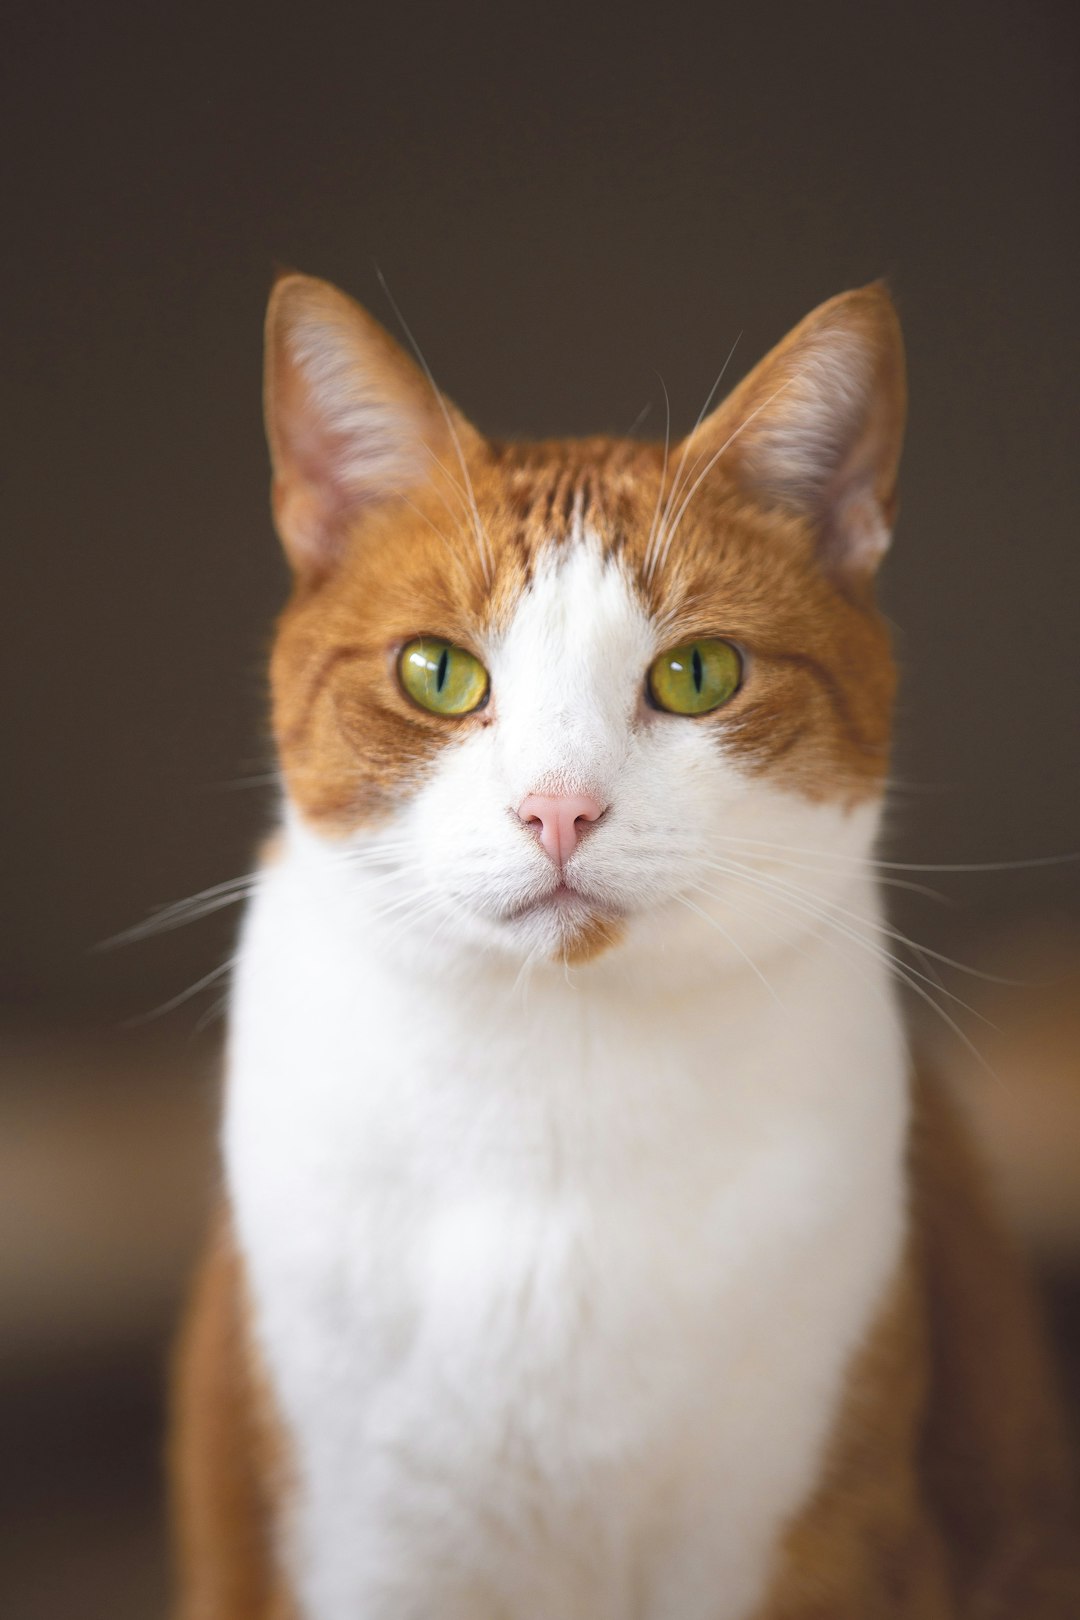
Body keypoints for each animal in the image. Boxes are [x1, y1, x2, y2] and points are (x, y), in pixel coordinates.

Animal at [169, 272, 1080, 1613]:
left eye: (698, 673)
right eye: (438, 672)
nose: (560, 809)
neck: (560, 1087)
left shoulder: (811, 1533)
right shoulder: (366, 1546)